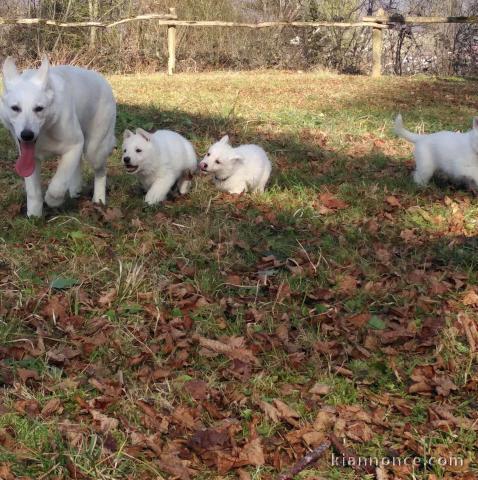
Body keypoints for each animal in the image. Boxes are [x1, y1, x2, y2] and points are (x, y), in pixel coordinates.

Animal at [0, 54, 116, 218]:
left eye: (39, 108)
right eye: (15, 108)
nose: (27, 135)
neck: (45, 130)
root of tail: (101, 78)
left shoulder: (74, 146)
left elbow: (58, 183)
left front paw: (53, 200)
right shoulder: (30, 159)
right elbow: (33, 191)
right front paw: (34, 215)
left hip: (95, 150)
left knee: (101, 172)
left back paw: (98, 199)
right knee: (78, 165)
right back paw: (75, 189)